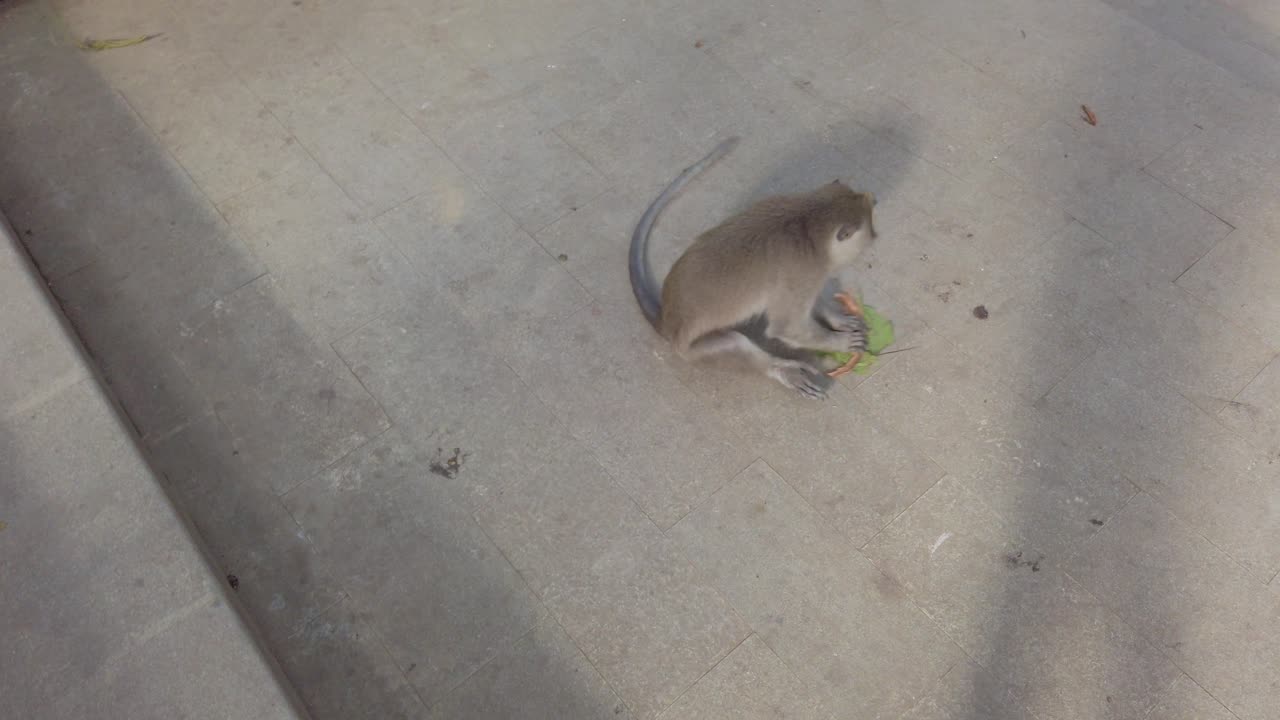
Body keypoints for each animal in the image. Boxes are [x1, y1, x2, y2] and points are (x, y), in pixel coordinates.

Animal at [629, 137, 879, 399]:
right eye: (870, 232)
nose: (876, 235)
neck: (808, 223)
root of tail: (668, 321)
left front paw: (837, 319)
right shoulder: (805, 271)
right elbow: (787, 327)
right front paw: (839, 341)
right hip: (693, 350)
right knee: (734, 343)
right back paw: (781, 369)